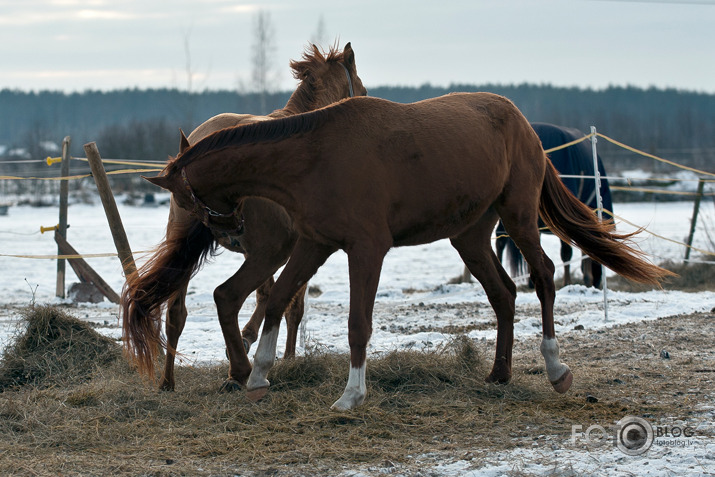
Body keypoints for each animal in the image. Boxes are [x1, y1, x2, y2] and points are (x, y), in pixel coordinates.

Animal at [121, 42, 366, 390]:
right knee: (228, 295)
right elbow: (289, 302)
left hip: (188, 245)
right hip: (270, 251)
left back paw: (169, 381)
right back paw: (240, 370)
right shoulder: (292, 247)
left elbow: (271, 296)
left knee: (176, 313)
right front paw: (281, 355)